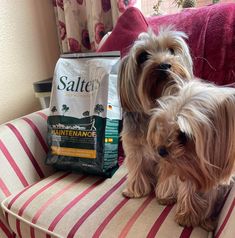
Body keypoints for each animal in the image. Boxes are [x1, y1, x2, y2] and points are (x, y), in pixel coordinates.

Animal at [118, 27, 194, 198]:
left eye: (171, 50)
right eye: (143, 56)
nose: (164, 64)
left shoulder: (169, 149)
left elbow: (168, 171)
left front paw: (166, 193)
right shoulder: (133, 147)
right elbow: (137, 166)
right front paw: (135, 188)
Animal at [147, 80, 235, 231]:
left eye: (183, 135)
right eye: (165, 123)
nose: (161, 150)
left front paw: (205, 219)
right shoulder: (186, 166)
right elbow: (186, 186)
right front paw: (187, 215)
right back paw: (166, 195)